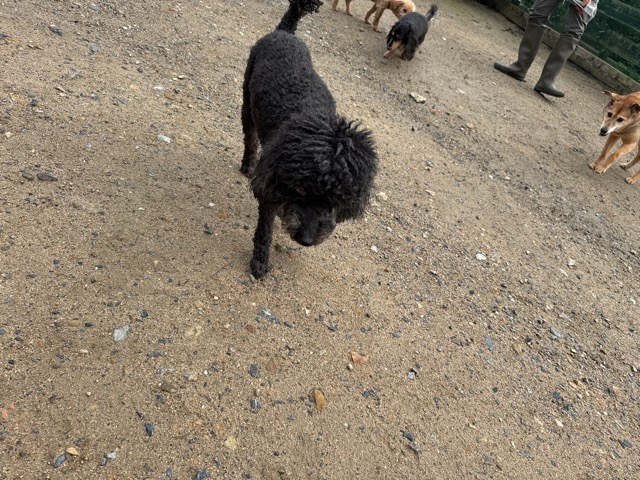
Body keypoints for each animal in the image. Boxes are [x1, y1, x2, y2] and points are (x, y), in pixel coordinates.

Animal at [241, 0, 378, 279]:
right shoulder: (270, 185)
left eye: (336, 200)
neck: (314, 117)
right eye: (301, 191)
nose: (306, 239)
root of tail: (285, 32)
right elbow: (264, 230)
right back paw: (247, 163)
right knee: (250, 138)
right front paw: (259, 262)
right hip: (247, 103)